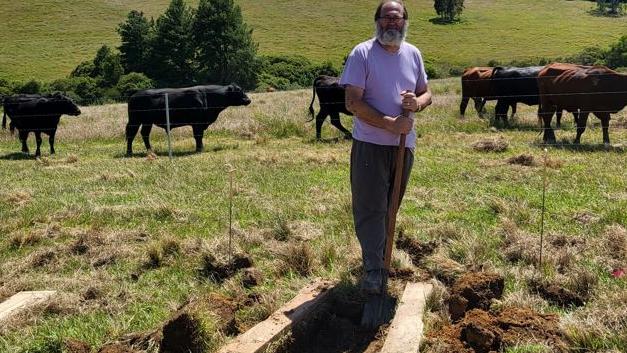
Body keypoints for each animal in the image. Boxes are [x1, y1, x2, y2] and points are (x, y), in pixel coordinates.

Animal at [125, 83, 253, 155]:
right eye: (239, 91)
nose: (248, 100)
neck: (207, 97)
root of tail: (135, 94)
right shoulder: (197, 123)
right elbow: (198, 136)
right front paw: (199, 149)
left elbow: (198, 136)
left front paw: (199, 148)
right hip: (135, 120)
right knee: (131, 134)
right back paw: (129, 152)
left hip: (147, 122)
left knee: (144, 134)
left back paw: (150, 151)